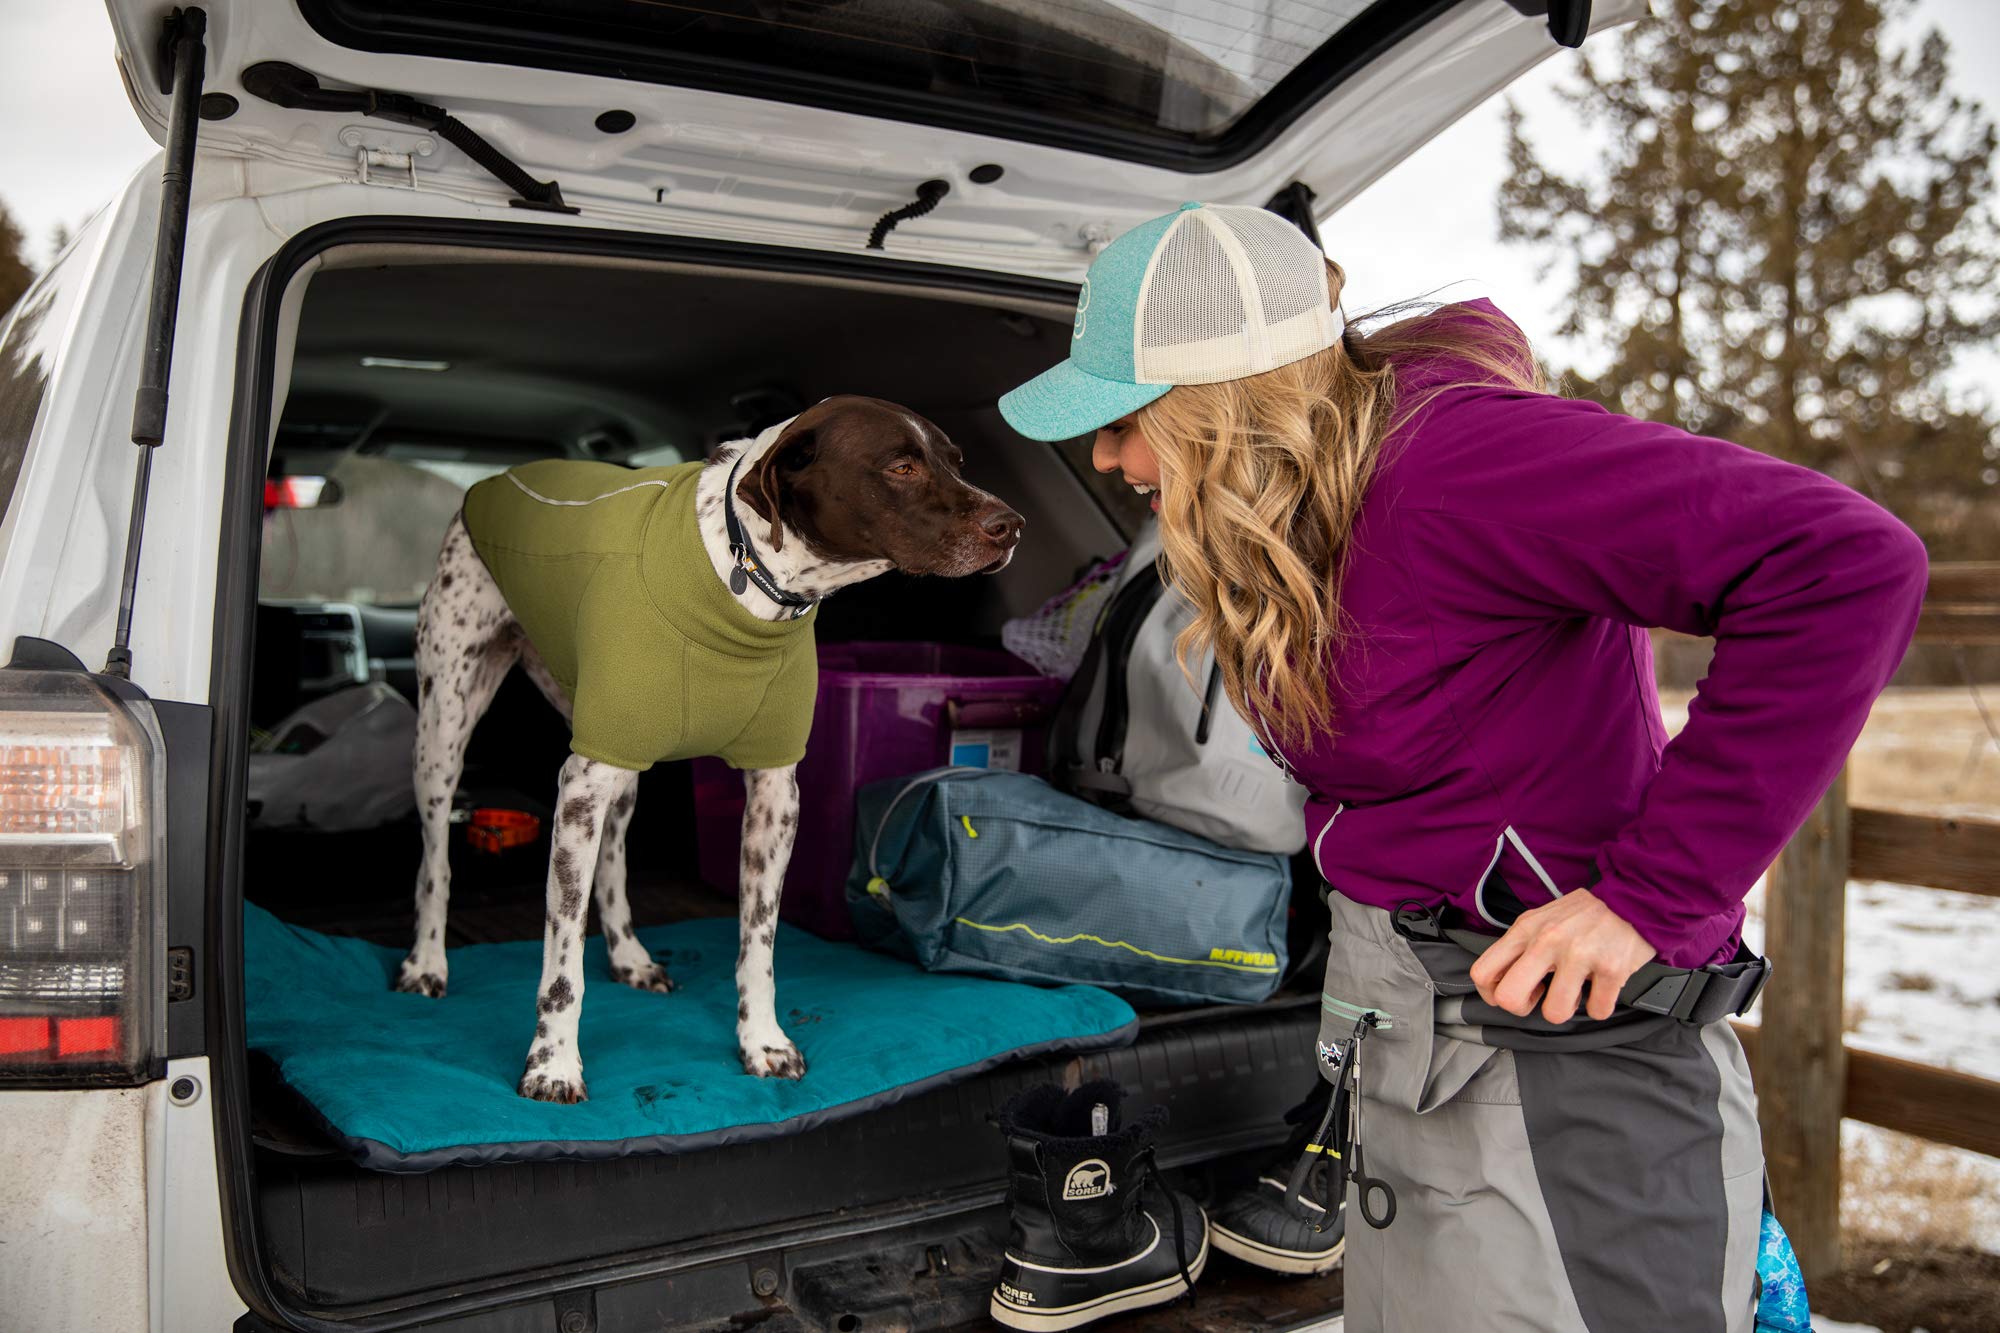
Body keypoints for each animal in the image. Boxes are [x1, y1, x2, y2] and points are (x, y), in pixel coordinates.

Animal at [392, 394, 1024, 1096]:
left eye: (957, 462)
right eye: (902, 466)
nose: (1013, 526)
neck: (743, 579)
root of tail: (494, 479)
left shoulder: (773, 792)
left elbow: (759, 941)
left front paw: (762, 1041)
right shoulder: (580, 785)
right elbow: (562, 960)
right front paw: (553, 1063)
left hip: (621, 764)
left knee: (613, 864)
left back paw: (630, 955)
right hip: (446, 730)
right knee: (436, 859)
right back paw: (427, 961)